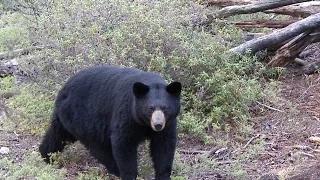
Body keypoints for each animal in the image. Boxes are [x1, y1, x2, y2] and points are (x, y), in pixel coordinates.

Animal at [38, 66, 181, 180]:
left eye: (165, 108)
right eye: (150, 108)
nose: (158, 125)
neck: (144, 123)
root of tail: (63, 89)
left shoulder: (168, 123)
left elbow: (164, 145)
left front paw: (163, 175)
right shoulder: (127, 114)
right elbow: (123, 142)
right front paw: (130, 175)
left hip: (68, 117)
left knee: (58, 134)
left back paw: (46, 154)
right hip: (82, 117)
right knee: (99, 147)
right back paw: (115, 170)